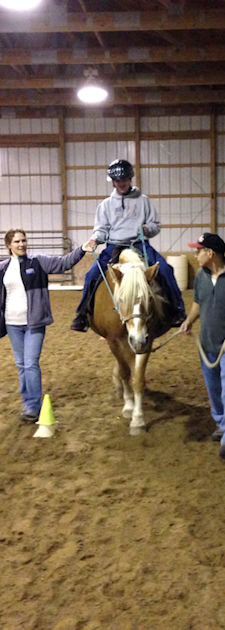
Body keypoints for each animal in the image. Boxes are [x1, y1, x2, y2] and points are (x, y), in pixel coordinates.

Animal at [89, 249, 173, 436]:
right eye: (121, 300)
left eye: (150, 298)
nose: (137, 340)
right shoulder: (113, 341)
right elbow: (125, 372)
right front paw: (129, 407)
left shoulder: (147, 341)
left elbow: (138, 378)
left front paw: (138, 420)